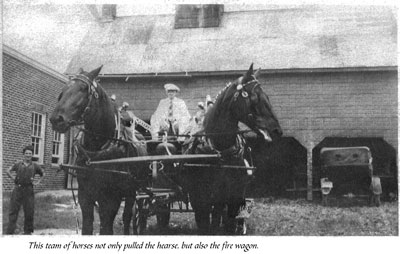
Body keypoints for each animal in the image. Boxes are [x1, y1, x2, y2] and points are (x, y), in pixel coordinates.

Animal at [50, 66, 147, 234]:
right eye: (63, 90)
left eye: (83, 89)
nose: (56, 119)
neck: (96, 153)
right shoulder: (85, 196)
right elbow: (87, 227)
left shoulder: (111, 198)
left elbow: (106, 228)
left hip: (133, 191)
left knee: (128, 216)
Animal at [181, 64, 282, 234]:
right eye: (254, 97)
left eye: (267, 96)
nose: (277, 131)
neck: (220, 154)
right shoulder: (199, 200)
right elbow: (205, 225)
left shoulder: (233, 197)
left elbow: (226, 222)